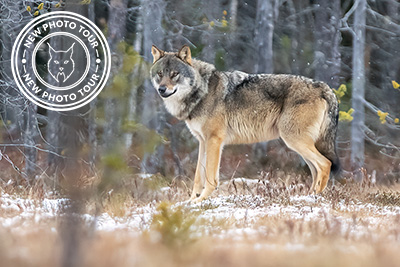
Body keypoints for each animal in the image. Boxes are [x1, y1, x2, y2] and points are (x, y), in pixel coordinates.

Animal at [151, 45, 340, 203]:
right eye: (160, 74)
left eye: (174, 74)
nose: (162, 89)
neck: (201, 91)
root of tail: (325, 88)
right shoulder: (203, 141)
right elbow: (198, 176)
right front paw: (191, 201)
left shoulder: (214, 140)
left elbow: (210, 178)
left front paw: (201, 200)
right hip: (299, 145)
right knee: (316, 170)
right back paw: (307, 196)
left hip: (294, 140)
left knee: (325, 164)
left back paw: (314, 197)